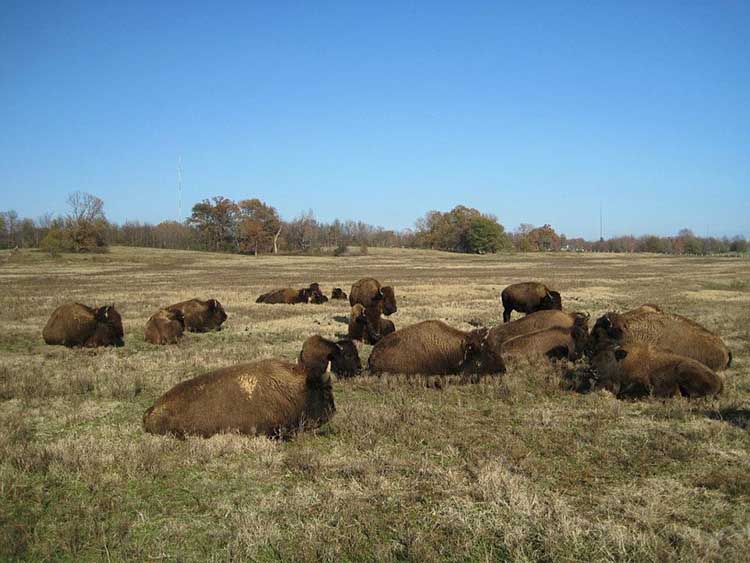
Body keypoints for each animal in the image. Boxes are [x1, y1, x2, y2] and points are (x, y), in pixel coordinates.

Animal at [592, 344, 728, 400]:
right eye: (595, 355)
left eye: (609, 357)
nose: (593, 370)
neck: (623, 361)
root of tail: (719, 380)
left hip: (683, 371)